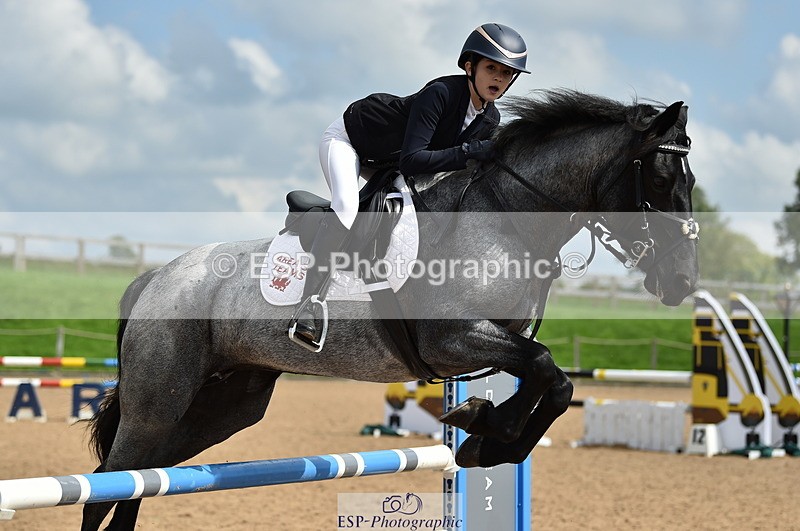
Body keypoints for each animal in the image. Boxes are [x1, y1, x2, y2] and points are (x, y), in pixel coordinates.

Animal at [82, 89, 698, 530]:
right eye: (661, 176)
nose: (684, 282)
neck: (507, 216)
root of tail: (157, 277)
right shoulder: (454, 340)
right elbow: (547, 368)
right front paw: (483, 430)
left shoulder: (498, 340)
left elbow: (552, 382)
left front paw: (481, 431)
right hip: (159, 402)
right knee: (103, 487)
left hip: (223, 405)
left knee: (138, 483)